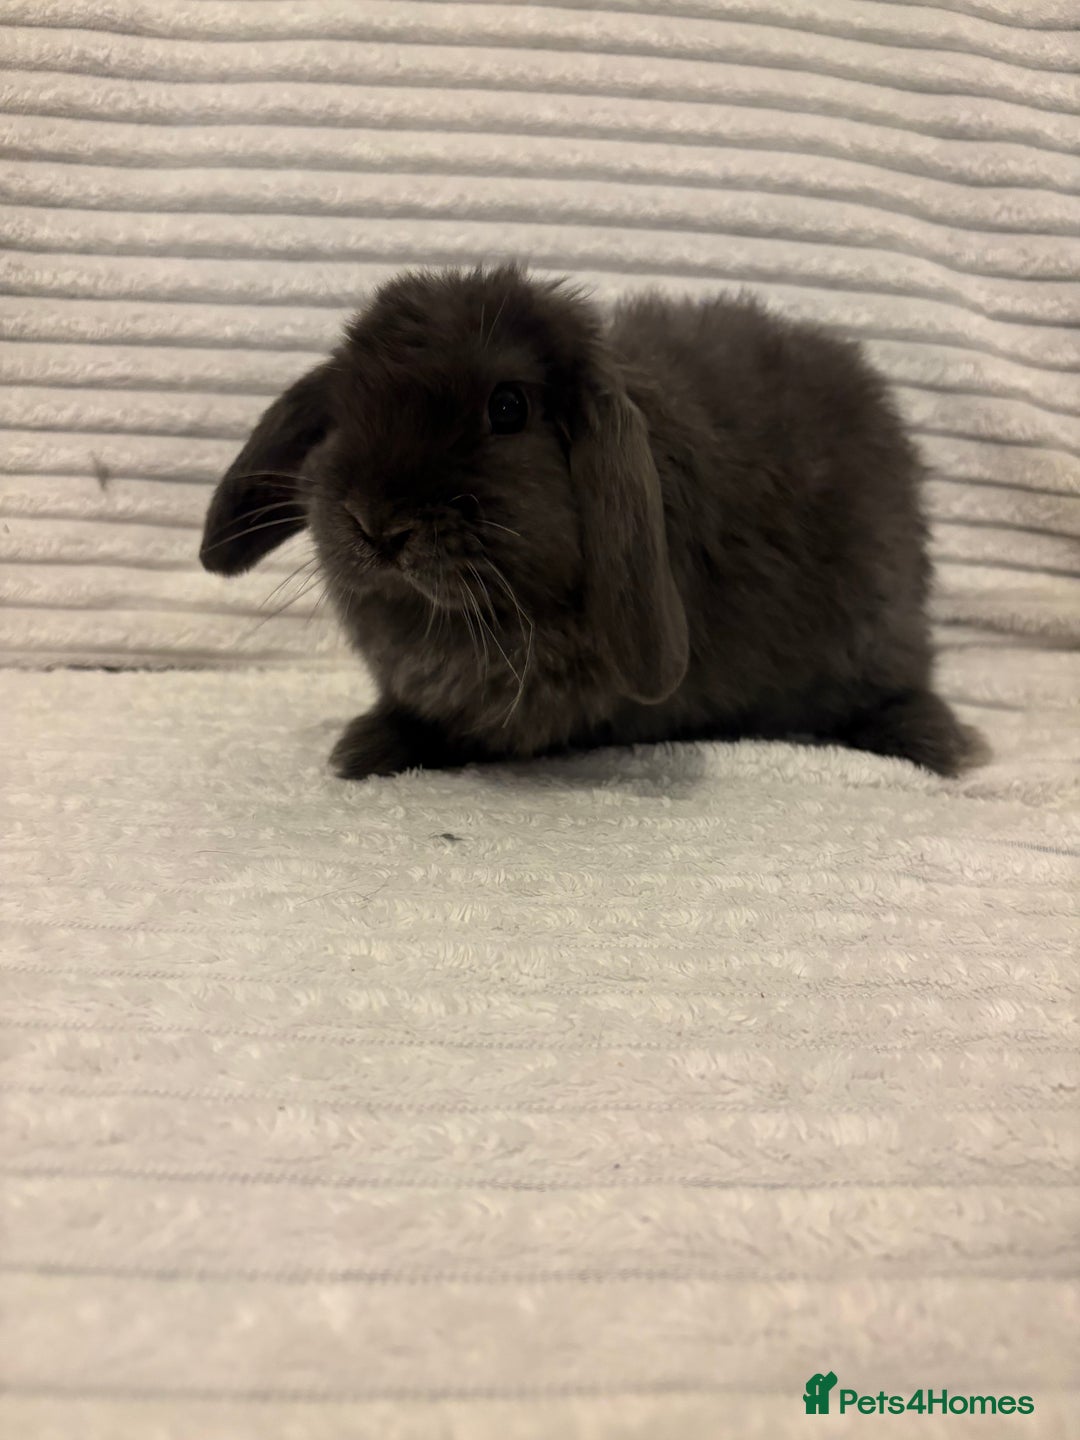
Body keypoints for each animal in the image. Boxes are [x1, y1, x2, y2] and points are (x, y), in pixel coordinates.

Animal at [200, 263, 985, 781]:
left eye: (508, 407)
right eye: (343, 409)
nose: (375, 523)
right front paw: (367, 747)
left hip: (872, 630)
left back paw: (933, 742)